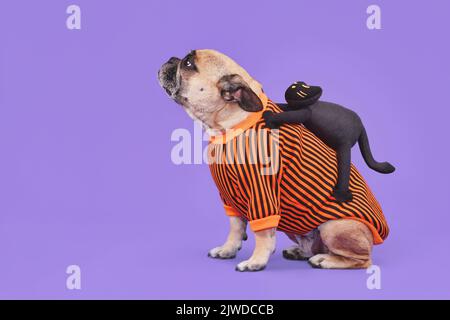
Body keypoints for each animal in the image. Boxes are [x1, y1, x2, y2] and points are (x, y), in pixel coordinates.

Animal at [264, 82, 394, 202]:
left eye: (301, 86)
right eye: (297, 85)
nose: (316, 88)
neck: (312, 103)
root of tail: (361, 126)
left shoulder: (305, 112)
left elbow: (289, 115)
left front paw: (269, 117)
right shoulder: (296, 107)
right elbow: (285, 107)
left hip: (344, 144)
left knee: (344, 167)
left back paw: (341, 195)